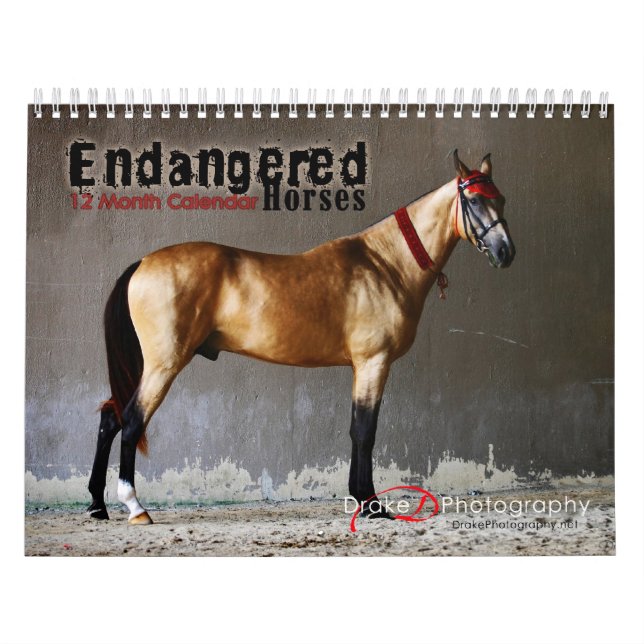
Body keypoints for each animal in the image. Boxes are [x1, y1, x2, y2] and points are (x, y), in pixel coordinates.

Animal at [87, 150, 515, 524]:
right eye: (474, 200)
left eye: (501, 199)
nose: (505, 252)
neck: (385, 263)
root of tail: (142, 262)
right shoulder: (373, 362)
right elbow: (365, 432)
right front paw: (372, 505)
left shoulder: (364, 366)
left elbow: (358, 430)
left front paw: (363, 500)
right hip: (164, 364)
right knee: (131, 421)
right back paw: (135, 507)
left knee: (110, 418)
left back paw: (97, 505)